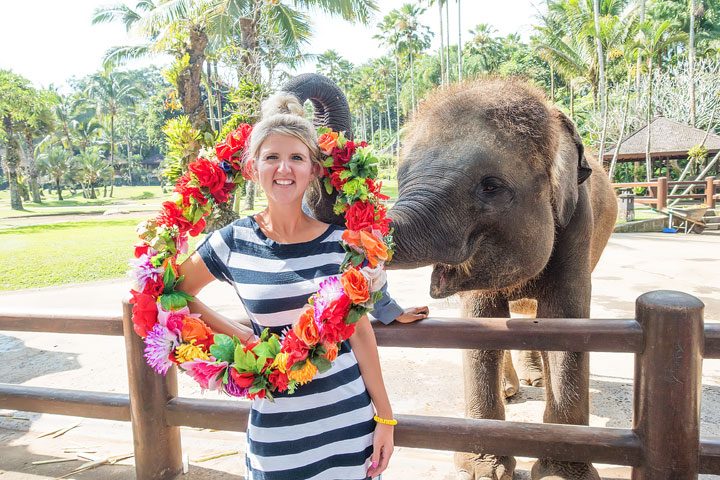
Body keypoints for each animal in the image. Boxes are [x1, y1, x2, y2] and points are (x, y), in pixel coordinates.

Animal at [282, 74, 620, 480]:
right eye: (400, 178)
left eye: (491, 186)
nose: (286, 103)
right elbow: (482, 324)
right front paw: (483, 470)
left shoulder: (579, 226)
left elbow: (565, 325)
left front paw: (560, 474)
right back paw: (512, 391)